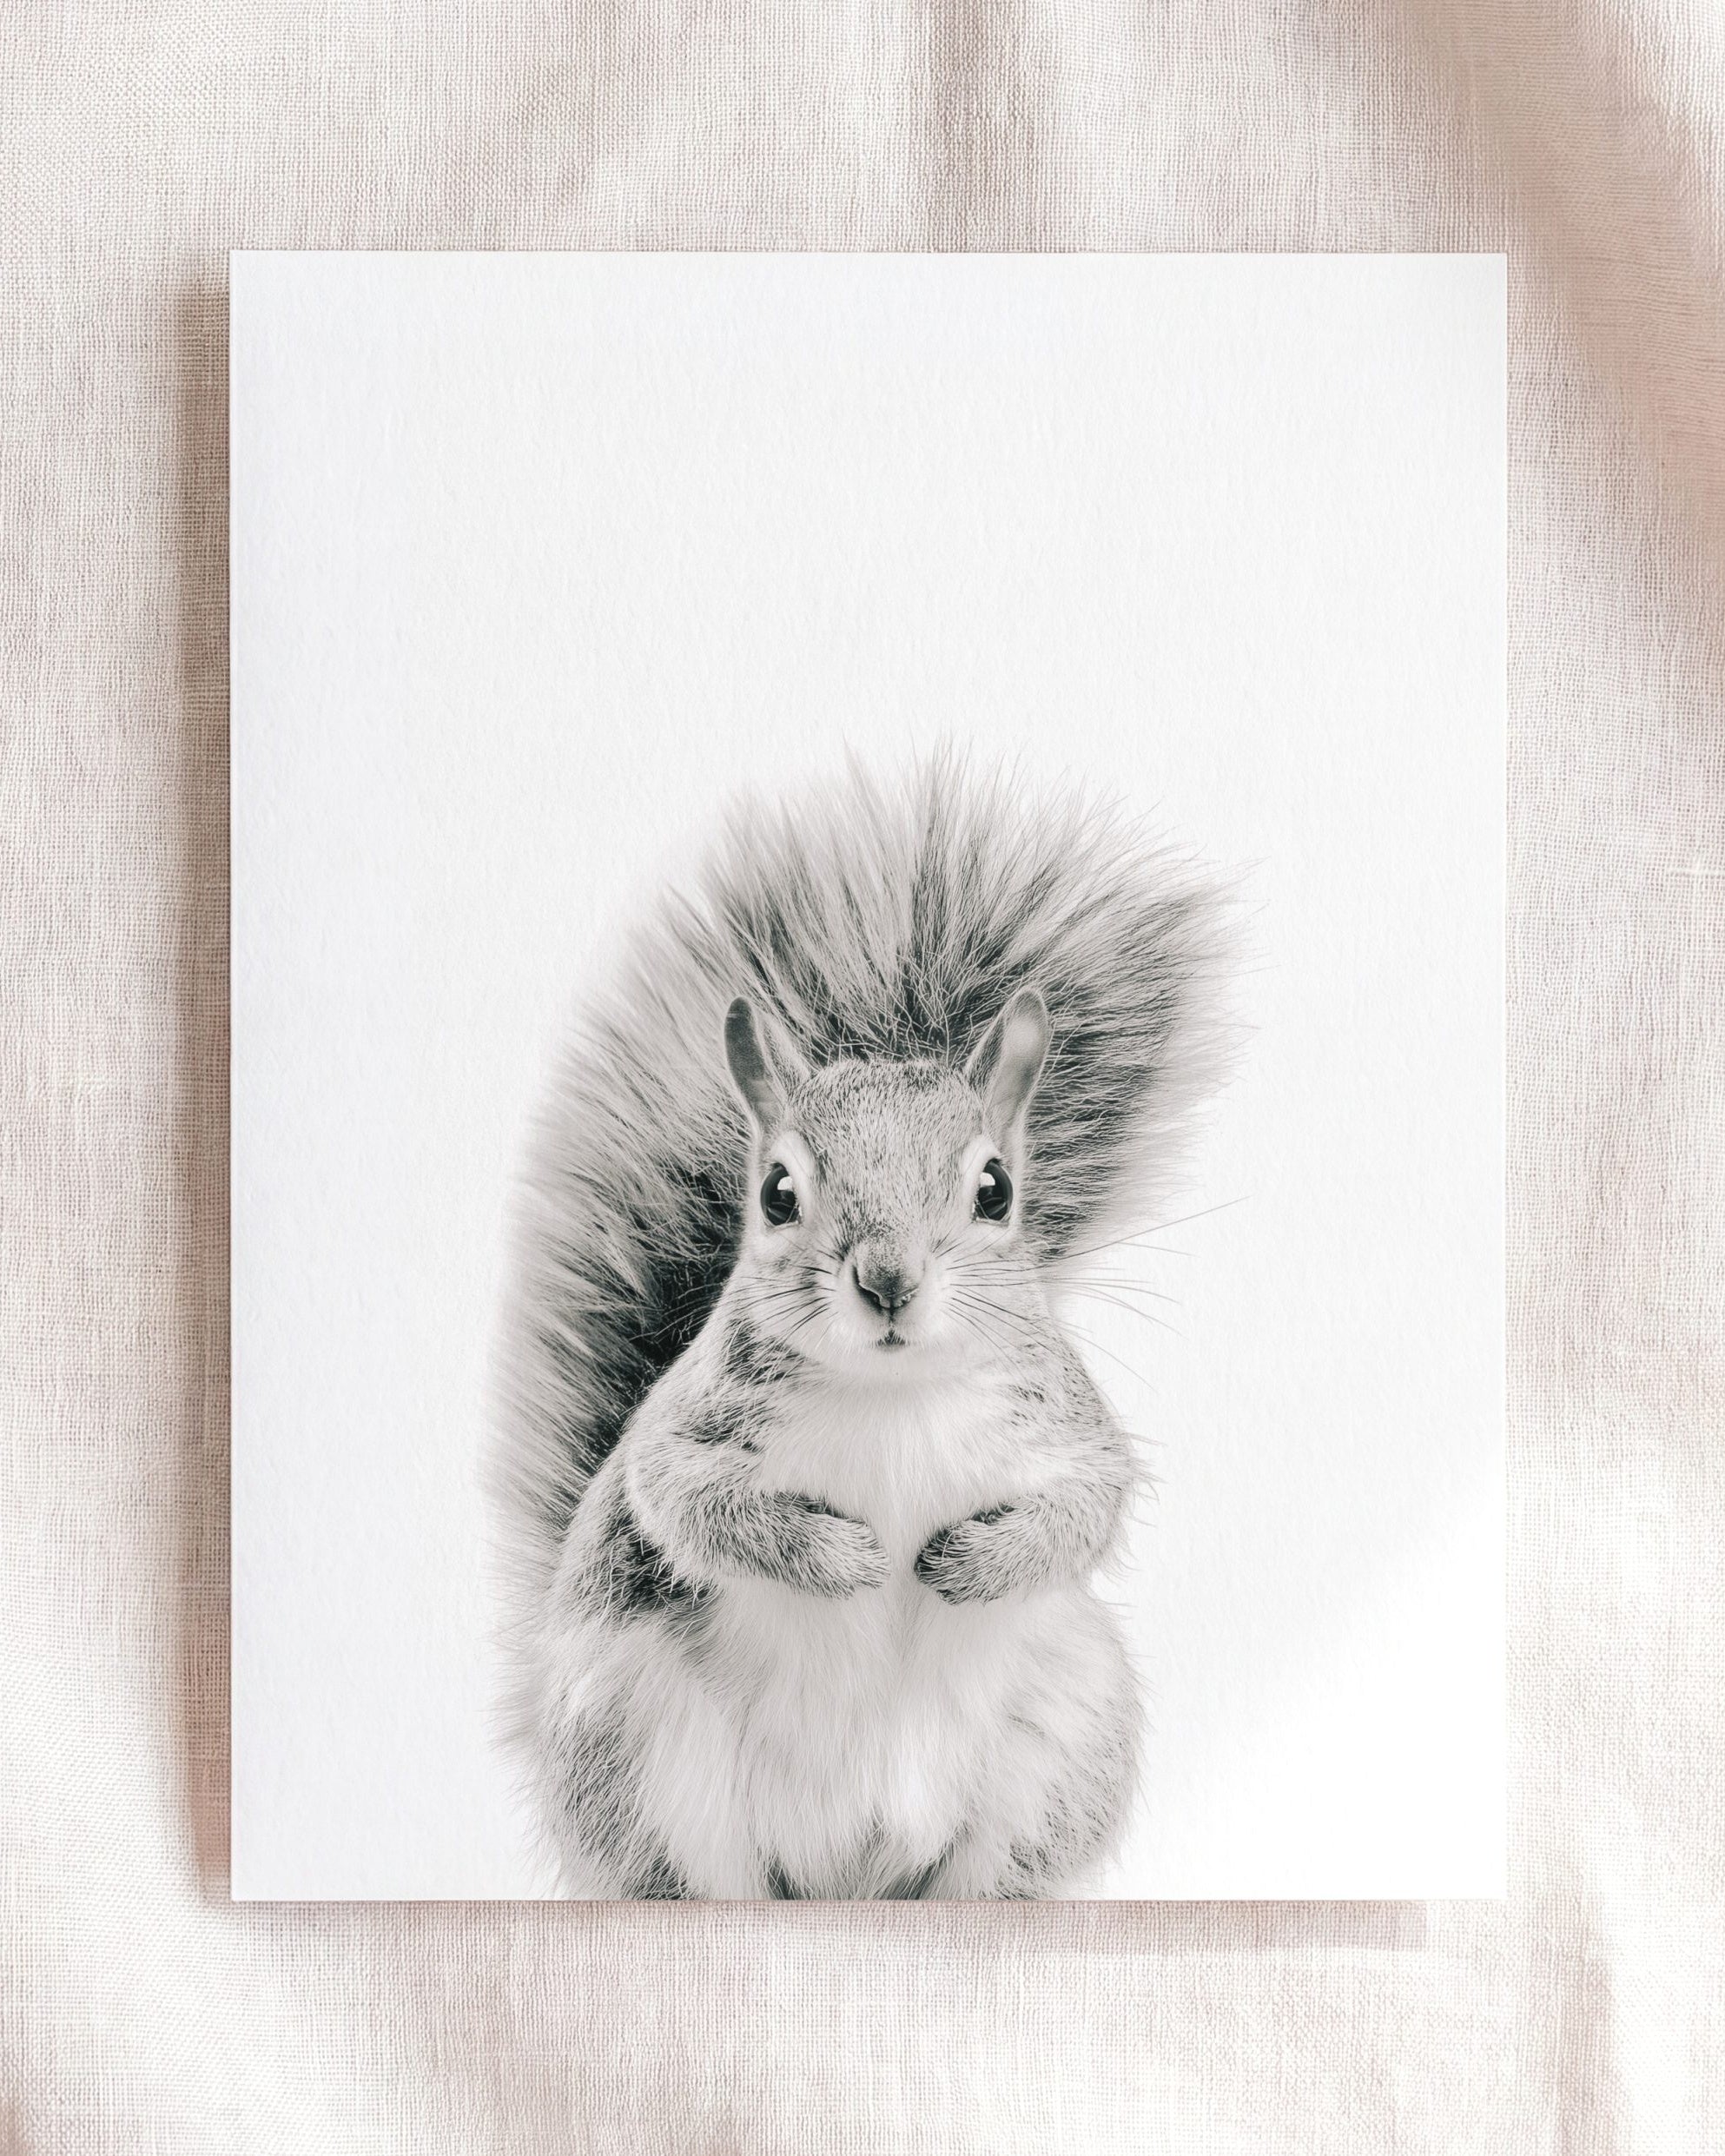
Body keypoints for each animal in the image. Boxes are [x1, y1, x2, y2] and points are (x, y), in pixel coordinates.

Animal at [492, 754, 1232, 1898]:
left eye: (995, 1188)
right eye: (777, 1192)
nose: (888, 1279)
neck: (893, 1395)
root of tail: (850, 1874)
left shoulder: (1067, 1426)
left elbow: (1087, 1507)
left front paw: (969, 1564)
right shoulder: (683, 1431)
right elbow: (690, 1501)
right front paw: (843, 1559)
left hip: (1063, 1742)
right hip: (635, 1749)